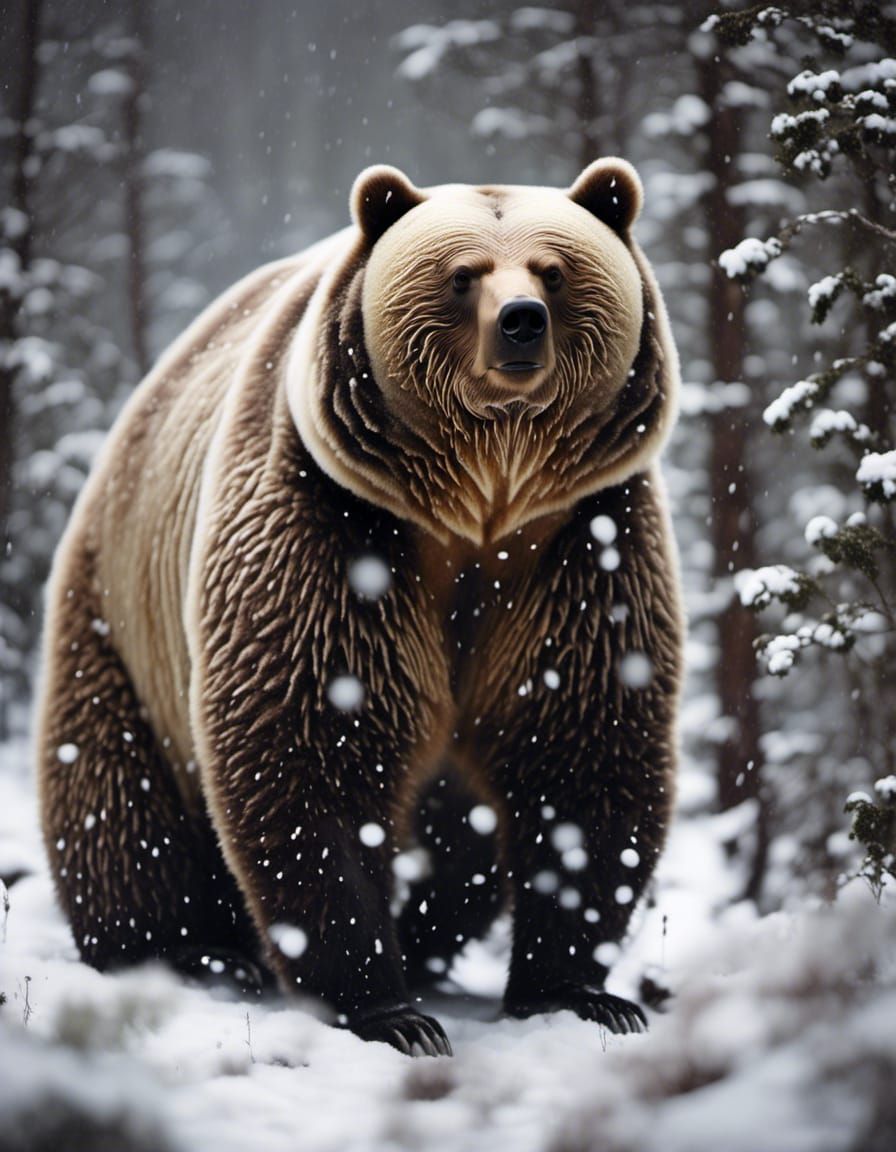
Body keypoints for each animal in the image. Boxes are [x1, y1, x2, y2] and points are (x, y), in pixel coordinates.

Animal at [37, 159, 682, 1057]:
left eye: (555, 270)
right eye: (462, 274)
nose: (520, 323)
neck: (480, 508)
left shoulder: (582, 547)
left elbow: (582, 745)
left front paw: (582, 993)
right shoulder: (333, 522)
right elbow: (312, 743)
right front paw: (389, 1011)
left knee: (461, 845)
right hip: (121, 614)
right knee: (117, 800)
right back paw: (189, 950)